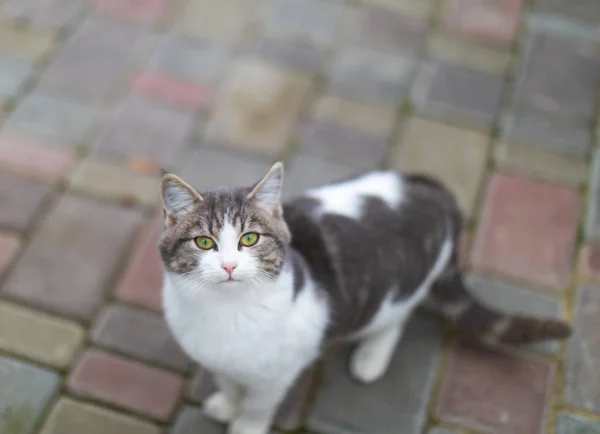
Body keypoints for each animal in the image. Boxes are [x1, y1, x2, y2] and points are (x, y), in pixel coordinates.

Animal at [159, 162, 572, 434]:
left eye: (249, 239)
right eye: (204, 242)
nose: (229, 266)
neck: (224, 312)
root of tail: (432, 186)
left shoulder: (278, 374)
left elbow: (257, 408)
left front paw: (244, 424)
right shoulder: (216, 358)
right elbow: (229, 383)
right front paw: (227, 404)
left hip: (401, 286)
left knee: (397, 316)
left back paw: (371, 357)